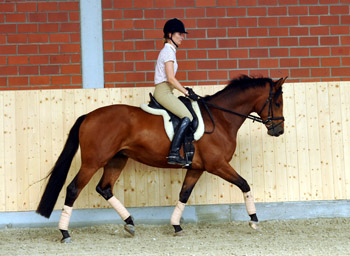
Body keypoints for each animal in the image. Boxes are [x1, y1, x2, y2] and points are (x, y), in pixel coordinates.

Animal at [37, 75, 286, 242]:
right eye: (277, 103)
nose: (279, 131)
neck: (221, 118)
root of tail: (89, 115)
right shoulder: (217, 165)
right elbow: (244, 184)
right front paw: (254, 220)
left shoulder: (197, 167)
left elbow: (184, 194)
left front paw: (176, 226)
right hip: (93, 162)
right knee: (73, 189)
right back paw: (65, 232)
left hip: (117, 159)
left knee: (105, 188)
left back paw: (130, 223)